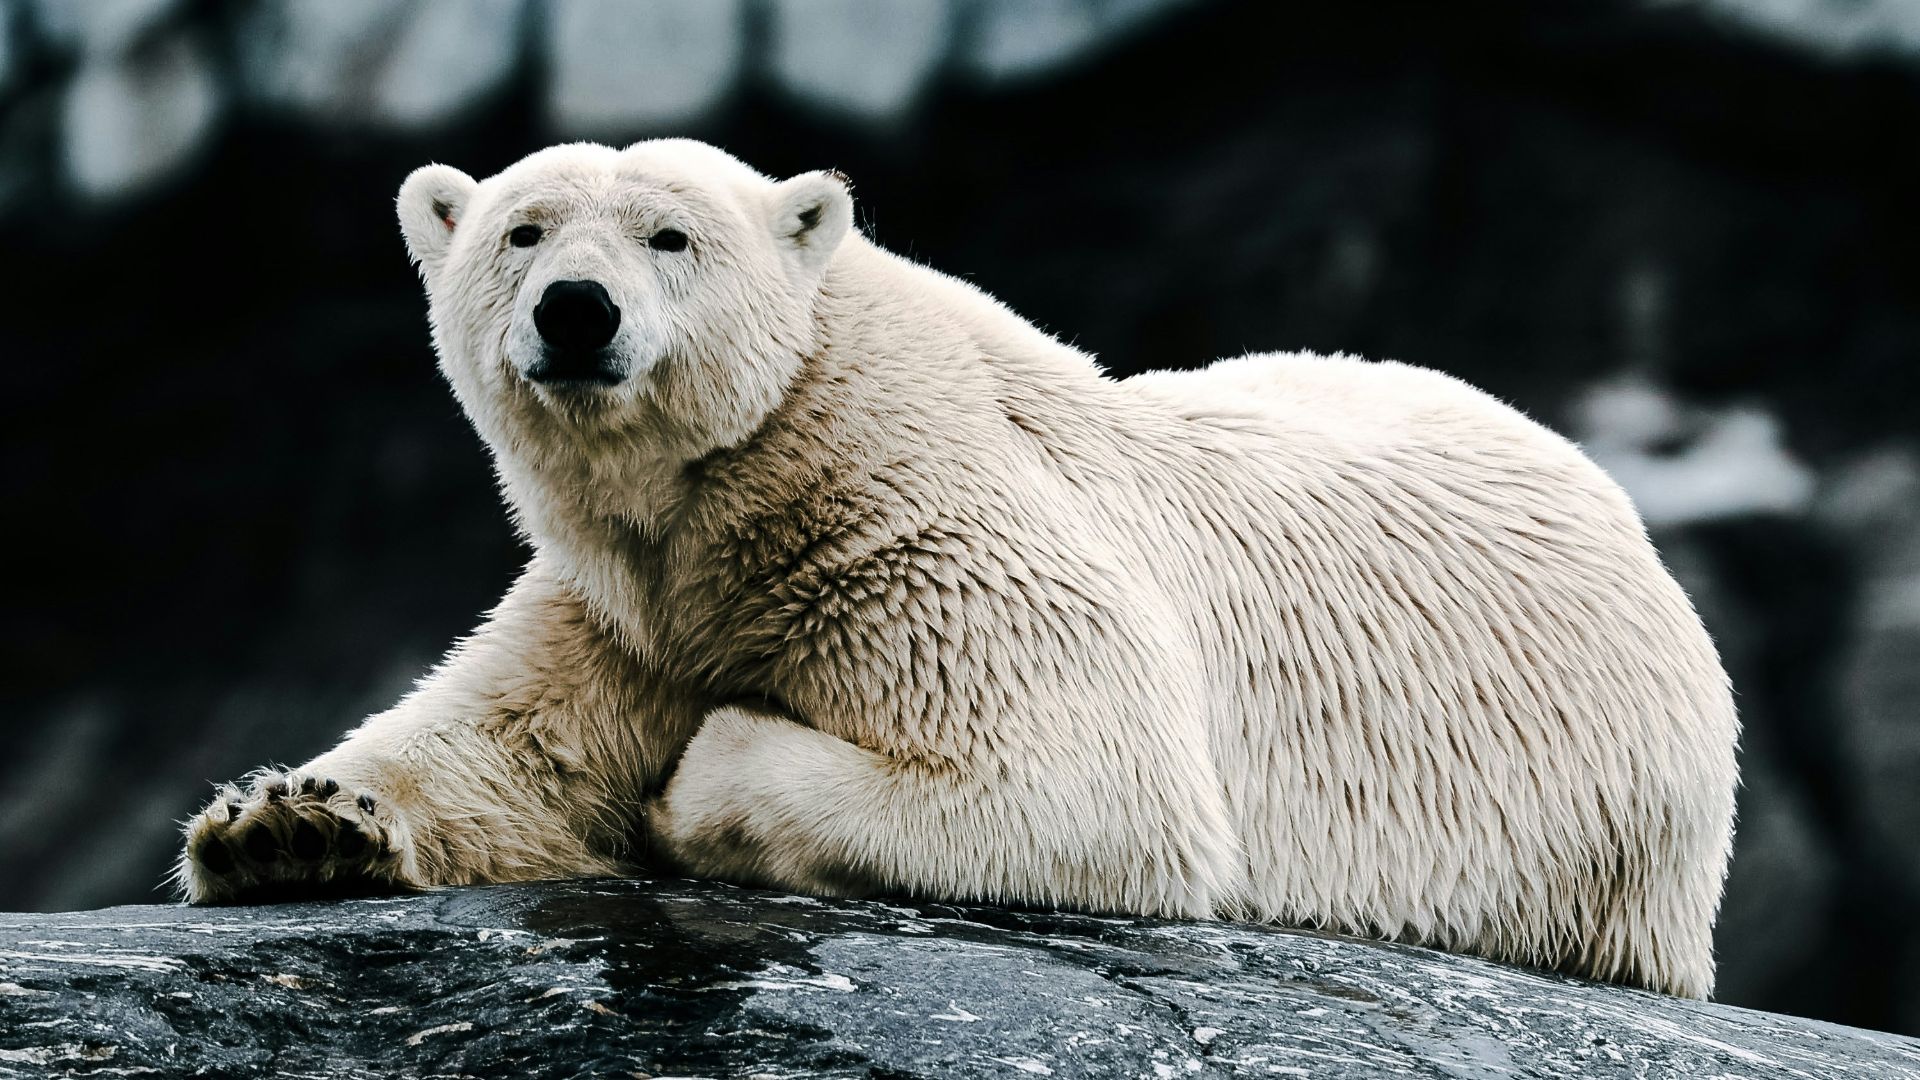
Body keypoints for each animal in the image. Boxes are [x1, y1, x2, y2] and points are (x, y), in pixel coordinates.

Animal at [177, 138, 1739, 999]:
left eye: (670, 235)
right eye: (522, 229)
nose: (575, 310)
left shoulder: (925, 531)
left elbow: (1087, 785)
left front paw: (693, 780)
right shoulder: (625, 602)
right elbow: (504, 745)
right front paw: (288, 828)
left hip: (1595, 833)